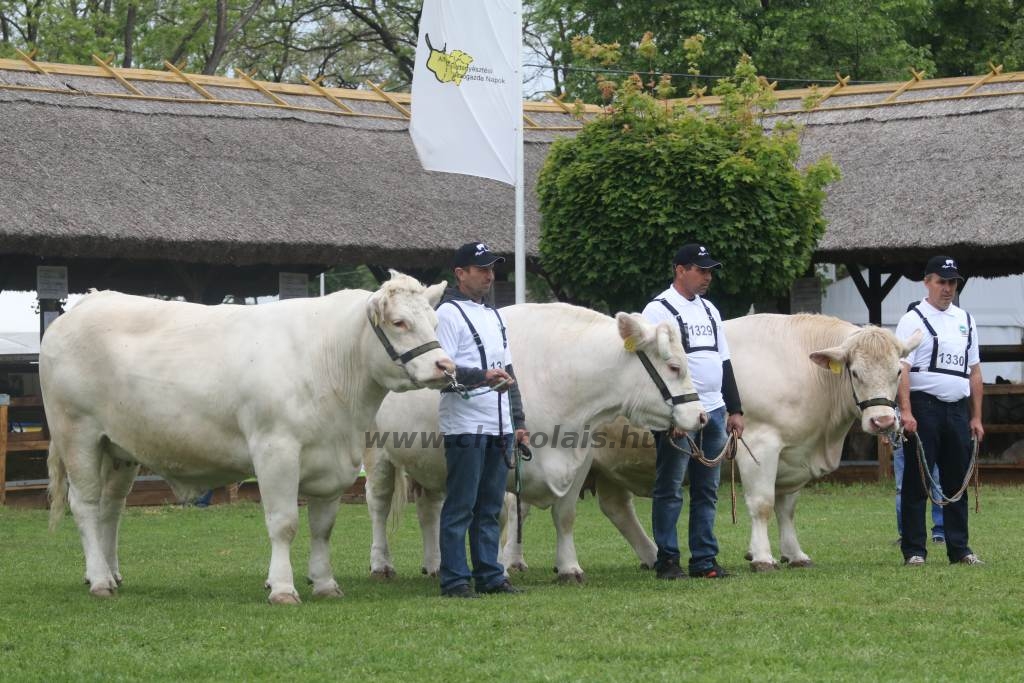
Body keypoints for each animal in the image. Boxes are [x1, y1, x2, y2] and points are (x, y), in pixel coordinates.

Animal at [44, 272, 452, 602]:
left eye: (435, 321)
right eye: (399, 322)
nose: (444, 366)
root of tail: (91, 300)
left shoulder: (333, 461)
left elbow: (323, 528)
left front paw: (324, 584)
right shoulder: (275, 449)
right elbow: (284, 523)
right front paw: (283, 588)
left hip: (119, 448)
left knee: (111, 508)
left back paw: (110, 573)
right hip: (77, 434)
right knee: (85, 505)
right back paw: (99, 580)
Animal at [364, 305, 708, 581]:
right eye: (675, 367)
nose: (701, 416)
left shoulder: (580, 460)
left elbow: (565, 515)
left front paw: (569, 568)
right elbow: (500, 515)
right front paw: (499, 569)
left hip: (427, 463)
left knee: (429, 509)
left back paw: (435, 564)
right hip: (377, 454)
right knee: (379, 505)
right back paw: (381, 565)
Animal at [589, 315, 925, 573]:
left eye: (898, 371)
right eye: (855, 372)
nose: (883, 421)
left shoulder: (794, 456)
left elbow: (787, 509)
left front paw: (795, 554)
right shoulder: (759, 445)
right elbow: (763, 504)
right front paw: (762, 556)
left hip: (605, 470)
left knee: (617, 509)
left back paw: (650, 556)